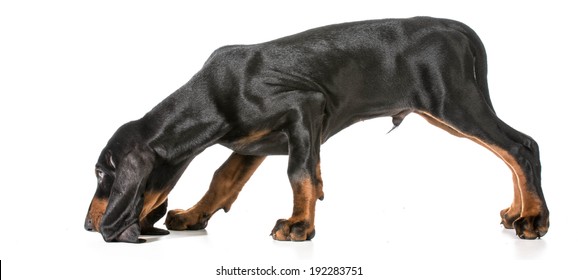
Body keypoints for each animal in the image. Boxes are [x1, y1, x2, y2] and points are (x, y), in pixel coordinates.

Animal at [83, 16, 548, 243]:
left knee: (521, 147)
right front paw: (195, 215)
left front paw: (298, 226)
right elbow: (222, 180)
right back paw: (517, 212)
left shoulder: (305, 108)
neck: (212, 94)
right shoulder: (252, 145)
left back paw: (533, 220)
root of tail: (459, 28)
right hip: (449, 110)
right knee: (512, 150)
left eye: (103, 174)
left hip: (454, 104)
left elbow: (300, 173)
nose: (89, 226)